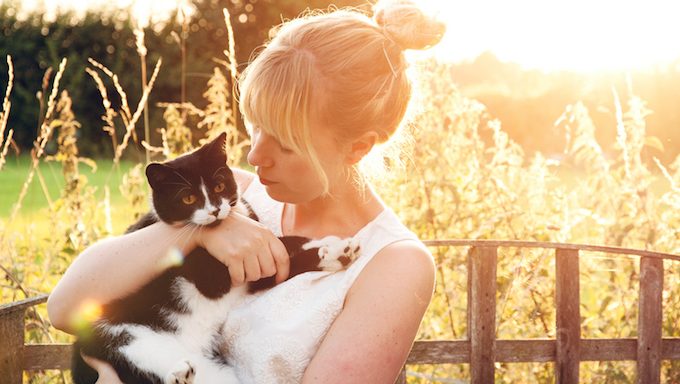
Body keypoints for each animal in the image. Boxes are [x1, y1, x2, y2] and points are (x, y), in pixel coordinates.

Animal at [71, 133, 362, 384]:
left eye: (220, 185)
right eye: (188, 198)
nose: (214, 210)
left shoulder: (257, 270)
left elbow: (285, 250)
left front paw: (337, 251)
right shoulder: (214, 275)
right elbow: (280, 245)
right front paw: (332, 248)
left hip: (218, 373)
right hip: (121, 338)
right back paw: (178, 374)